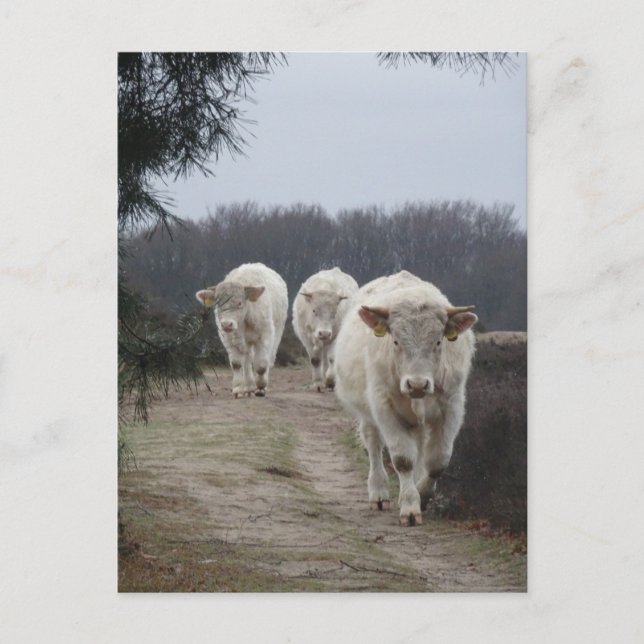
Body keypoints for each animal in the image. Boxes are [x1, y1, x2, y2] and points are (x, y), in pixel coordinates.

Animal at [196, 263, 288, 398]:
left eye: (239, 303)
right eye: (218, 303)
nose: (227, 324)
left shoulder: (265, 334)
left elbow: (261, 364)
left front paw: (261, 387)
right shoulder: (228, 338)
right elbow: (237, 363)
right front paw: (238, 388)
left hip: (278, 330)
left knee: (268, 359)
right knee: (247, 360)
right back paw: (248, 387)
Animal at [333, 271, 478, 526]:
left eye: (438, 341)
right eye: (396, 341)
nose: (417, 384)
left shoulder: (452, 407)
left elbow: (438, 461)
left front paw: (422, 494)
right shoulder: (385, 407)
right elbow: (402, 459)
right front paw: (410, 506)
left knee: (419, 447)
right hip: (368, 413)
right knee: (373, 444)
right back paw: (379, 492)